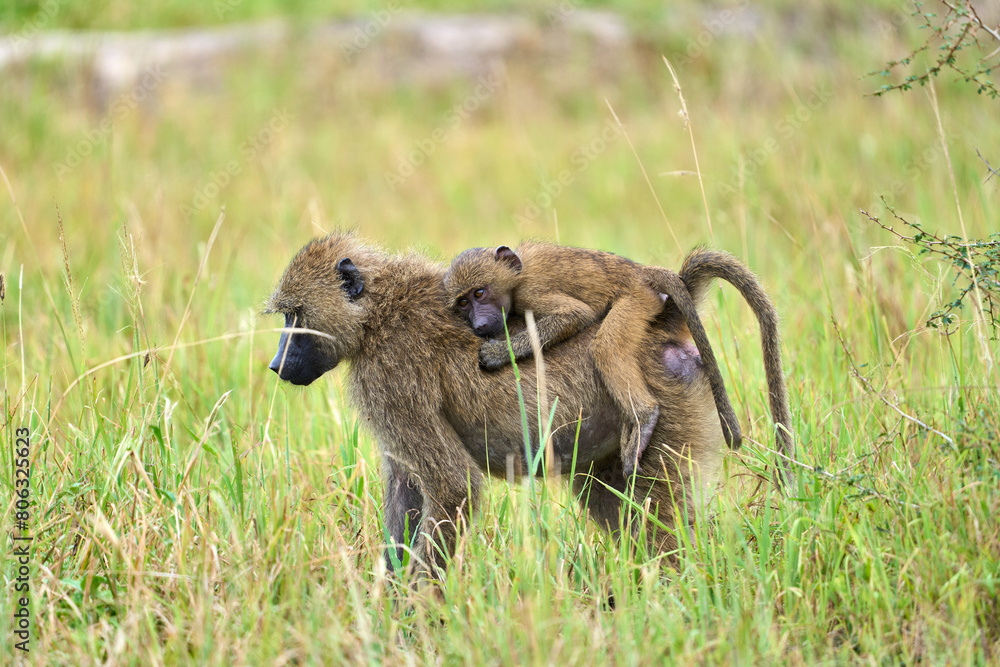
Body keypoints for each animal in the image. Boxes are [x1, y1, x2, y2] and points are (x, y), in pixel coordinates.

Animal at [442, 242, 741, 477]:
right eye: (463, 303)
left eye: (479, 293)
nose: (480, 325)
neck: (516, 275)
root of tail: (641, 272)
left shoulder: (531, 291)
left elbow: (575, 315)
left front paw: (497, 354)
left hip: (637, 299)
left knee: (606, 347)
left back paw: (643, 418)